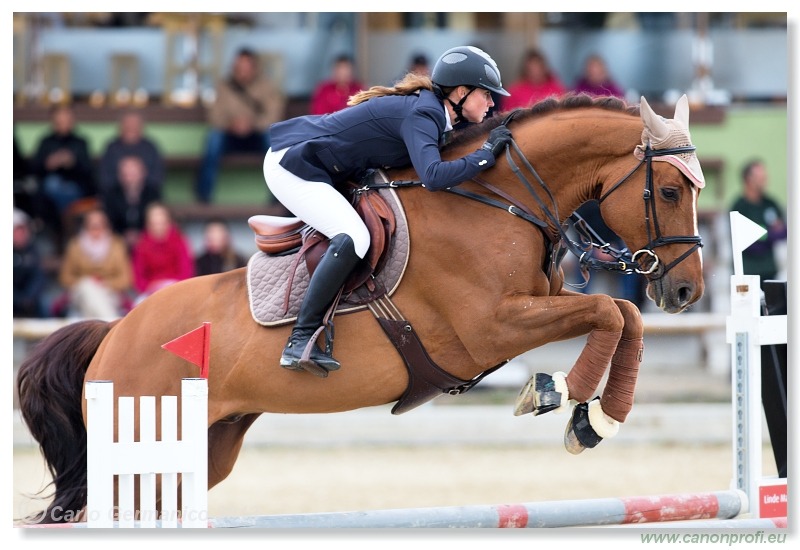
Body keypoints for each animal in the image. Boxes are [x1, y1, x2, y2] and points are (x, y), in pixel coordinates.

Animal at [17, 95, 708, 528]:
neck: (497, 199)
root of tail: (114, 333)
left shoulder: (536, 305)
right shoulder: (489, 327)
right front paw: (559, 396)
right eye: (672, 190)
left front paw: (598, 417)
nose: (686, 293)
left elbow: (620, 315)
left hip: (200, 452)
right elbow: (609, 312)